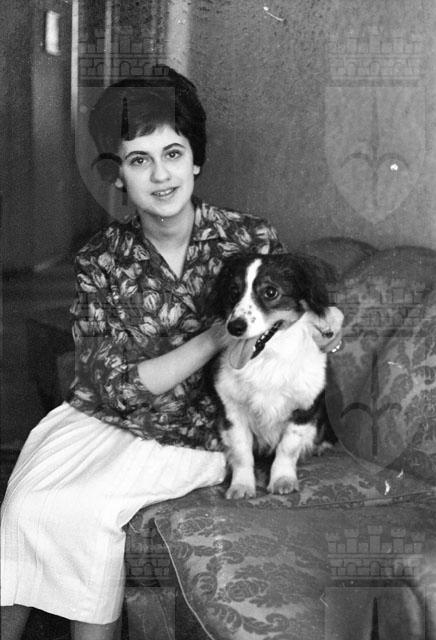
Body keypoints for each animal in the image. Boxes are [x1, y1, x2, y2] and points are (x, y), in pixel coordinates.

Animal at [212, 252, 343, 499]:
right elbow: (241, 452)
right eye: (233, 291)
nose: (234, 327)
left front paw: (282, 479)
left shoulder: (304, 407)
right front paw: (242, 485)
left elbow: (287, 447)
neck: (267, 360)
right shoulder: (232, 409)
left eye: (270, 292)